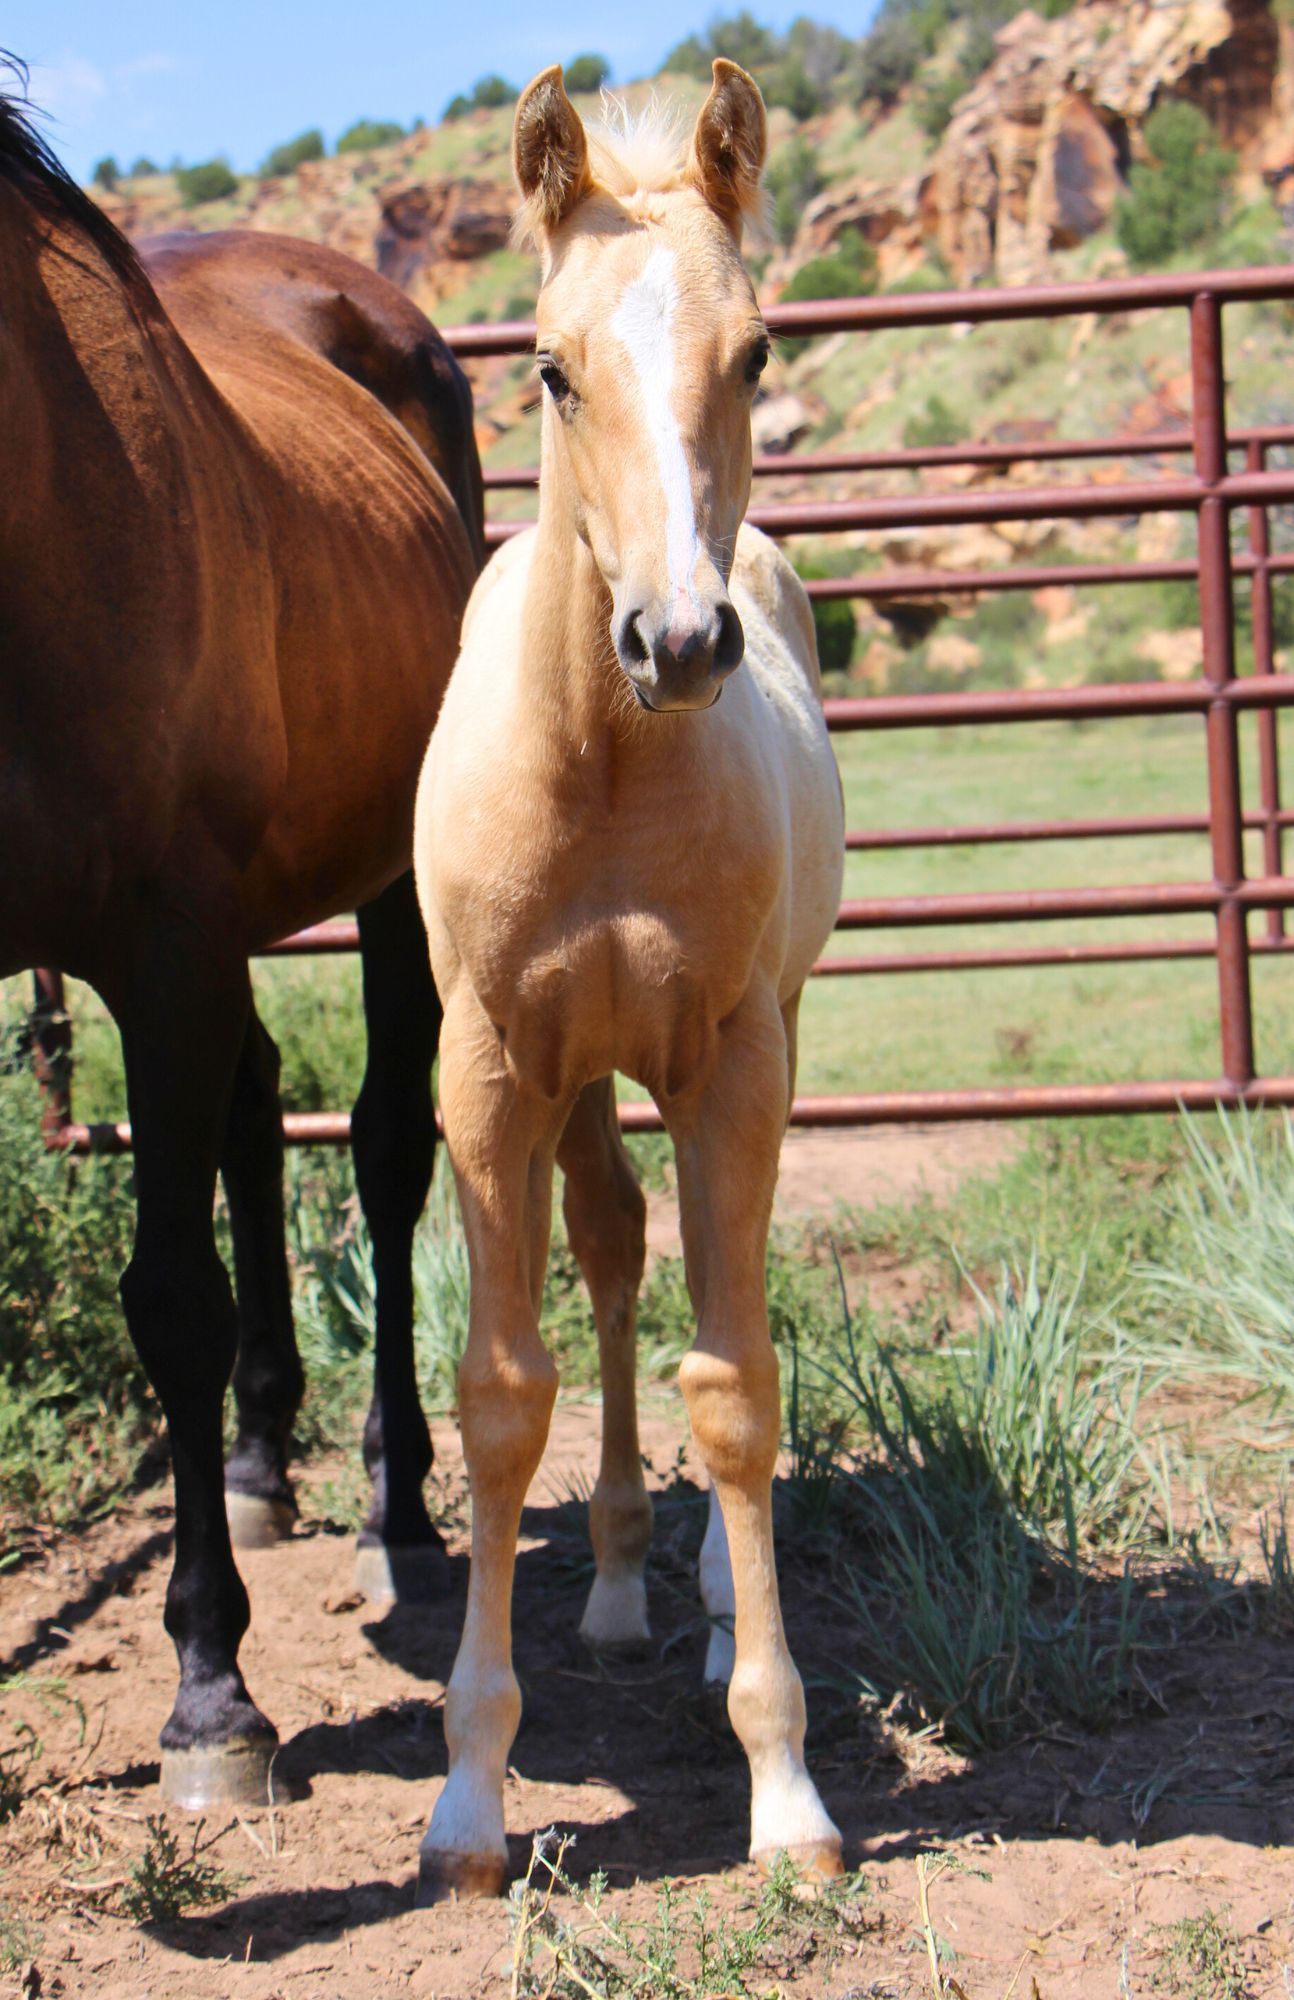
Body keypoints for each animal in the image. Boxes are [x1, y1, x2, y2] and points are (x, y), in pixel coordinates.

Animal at [0, 67, 482, 1810]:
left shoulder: (164, 944)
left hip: (380, 880)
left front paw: (213, 1695)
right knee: (260, 1117)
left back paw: (393, 1508)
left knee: (389, 1155)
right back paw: (269, 1458)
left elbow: (171, 1302)